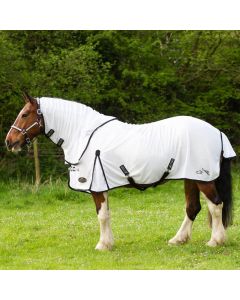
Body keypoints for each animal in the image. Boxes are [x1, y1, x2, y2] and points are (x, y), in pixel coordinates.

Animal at [5, 94, 236, 251]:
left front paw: (102, 245)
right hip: (191, 177)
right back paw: (178, 239)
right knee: (193, 207)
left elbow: (101, 216)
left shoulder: (96, 185)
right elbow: (106, 214)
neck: (83, 135)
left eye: (24, 114)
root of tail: (217, 132)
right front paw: (108, 243)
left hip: (203, 179)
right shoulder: (101, 184)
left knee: (216, 205)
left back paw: (215, 241)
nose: (9, 141)